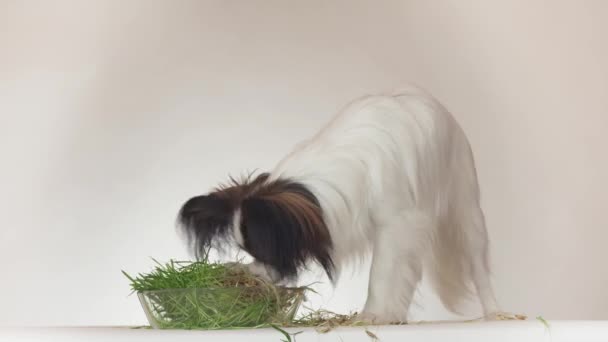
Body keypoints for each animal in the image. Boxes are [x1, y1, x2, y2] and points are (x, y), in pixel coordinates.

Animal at [178, 85, 502, 324]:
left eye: (267, 252)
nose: (254, 273)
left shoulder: (397, 224)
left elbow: (381, 274)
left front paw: (371, 315)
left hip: (466, 208)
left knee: (477, 264)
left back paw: (495, 312)